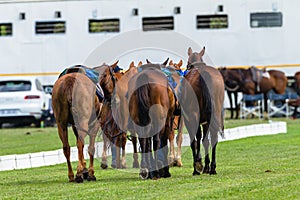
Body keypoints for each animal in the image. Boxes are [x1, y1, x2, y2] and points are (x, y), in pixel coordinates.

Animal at [182, 47, 224, 175]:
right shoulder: (206, 121)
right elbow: (205, 141)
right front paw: (206, 166)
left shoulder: (189, 119)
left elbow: (194, 141)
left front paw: (198, 165)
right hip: (215, 114)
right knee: (213, 138)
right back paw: (213, 168)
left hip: (194, 116)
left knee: (197, 138)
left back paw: (199, 167)